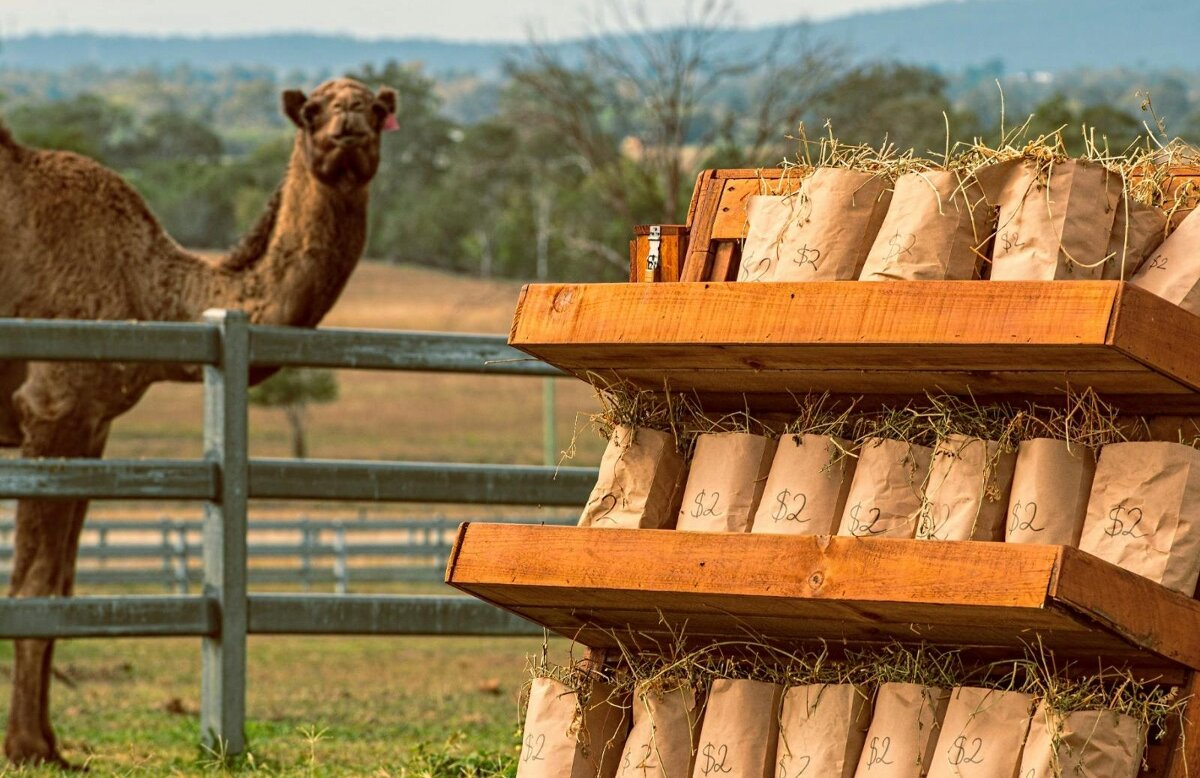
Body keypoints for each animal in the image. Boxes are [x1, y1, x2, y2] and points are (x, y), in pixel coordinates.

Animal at [0, 77, 397, 766]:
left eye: (375, 109)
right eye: (313, 110)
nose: (348, 126)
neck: (149, 288)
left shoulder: (92, 423)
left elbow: (67, 585)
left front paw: (50, 741)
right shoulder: (53, 406)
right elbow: (36, 583)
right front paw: (27, 748)